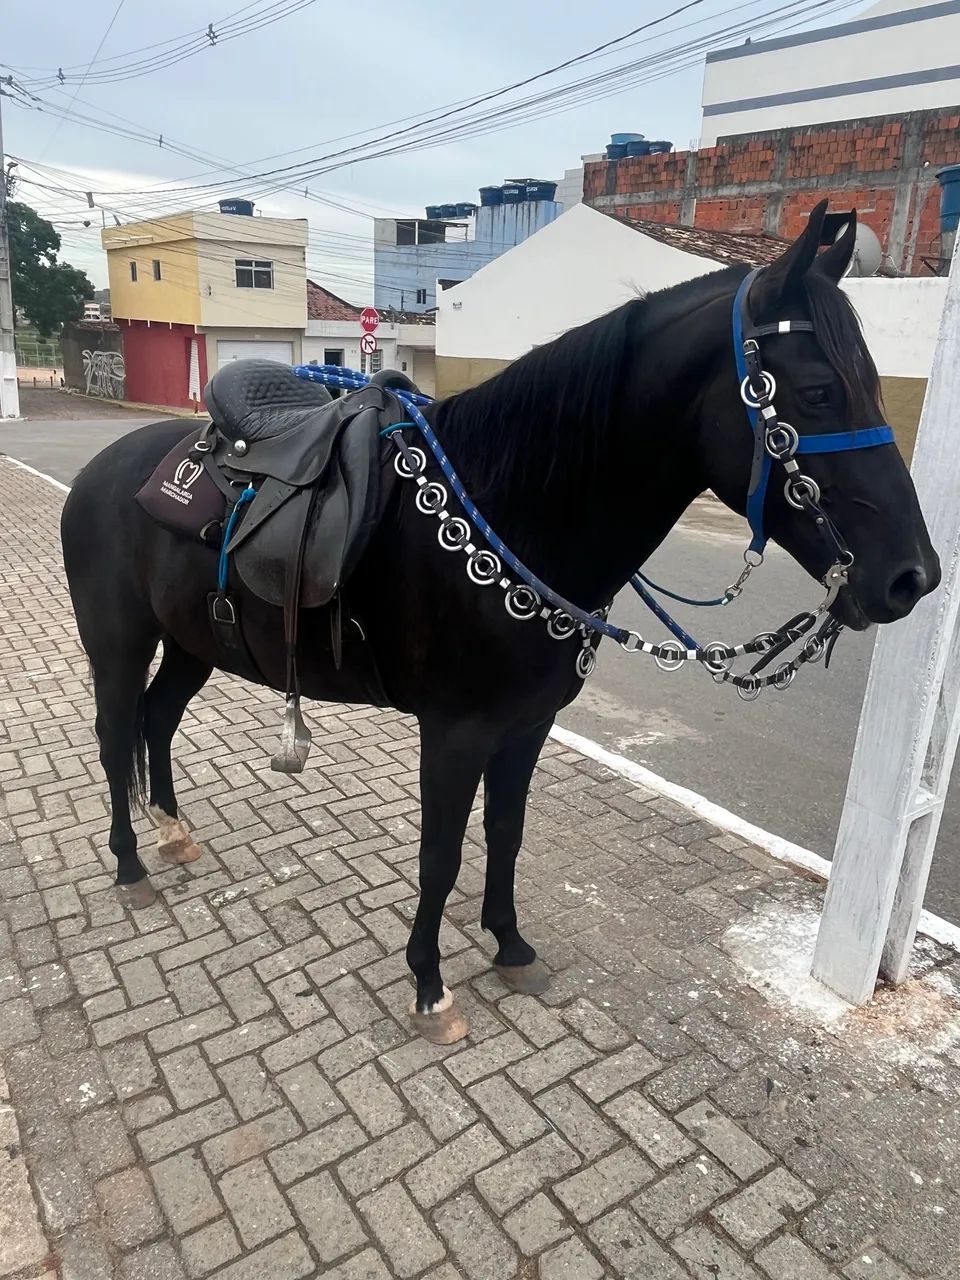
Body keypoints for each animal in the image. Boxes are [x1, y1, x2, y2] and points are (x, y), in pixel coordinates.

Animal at [60, 202, 939, 1043]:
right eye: (819, 394)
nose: (914, 578)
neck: (509, 508)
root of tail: (106, 469)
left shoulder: (526, 725)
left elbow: (507, 832)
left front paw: (510, 946)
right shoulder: (454, 732)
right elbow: (441, 854)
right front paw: (428, 984)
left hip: (193, 644)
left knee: (157, 720)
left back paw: (172, 831)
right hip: (118, 644)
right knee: (114, 733)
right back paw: (130, 865)